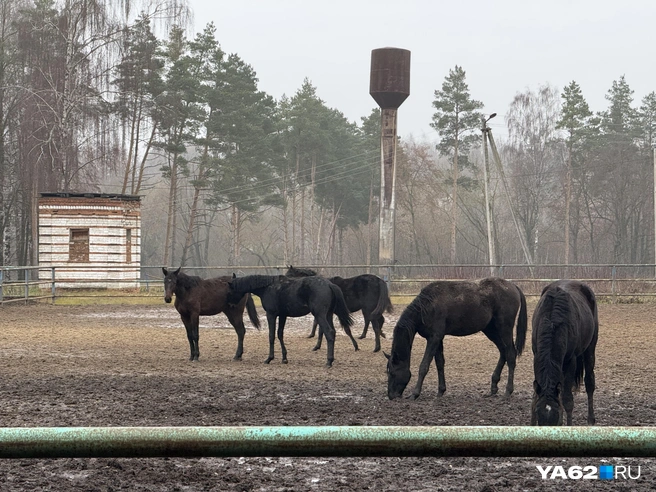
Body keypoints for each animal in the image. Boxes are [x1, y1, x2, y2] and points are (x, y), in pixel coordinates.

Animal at [228, 274, 358, 367]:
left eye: (230, 291)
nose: (231, 305)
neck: (268, 287)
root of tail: (329, 284)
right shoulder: (283, 315)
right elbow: (280, 334)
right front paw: (284, 358)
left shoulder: (271, 314)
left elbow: (271, 336)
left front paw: (269, 358)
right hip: (328, 315)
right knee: (333, 332)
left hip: (320, 315)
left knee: (329, 333)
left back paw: (329, 361)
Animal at [385, 277, 527, 400]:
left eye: (392, 373)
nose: (391, 395)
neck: (426, 306)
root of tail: (512, 286)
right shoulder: (438, 339)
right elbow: (439, 363)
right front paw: (441, 391)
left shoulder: (434, 338)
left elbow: (424, 366)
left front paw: (415, 393)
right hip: (491, 330)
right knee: (503, 352)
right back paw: (493, 387)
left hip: (504, 329)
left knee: (510, 354)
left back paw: (508, 391)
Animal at [531, 279, 598, 426]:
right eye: (539, 415)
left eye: (554, 416)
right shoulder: (536, 356)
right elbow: (535, 398)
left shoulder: (570, 361)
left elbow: (567, 400)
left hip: (590, 348)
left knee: (589, 382)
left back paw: (591, 419)